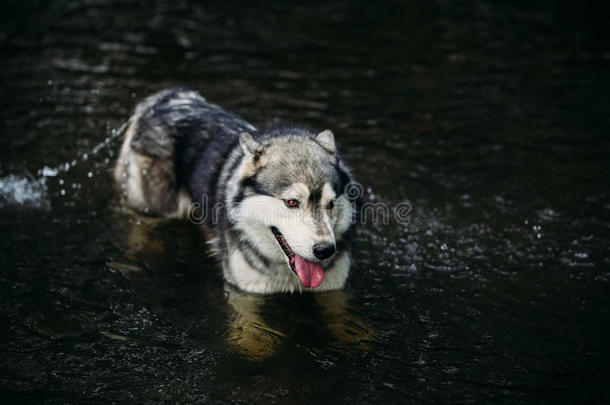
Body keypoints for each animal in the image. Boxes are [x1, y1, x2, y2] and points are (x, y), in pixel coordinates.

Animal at [114, 87, 356, 294]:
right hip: (153, 210)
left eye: (330, 204)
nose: (325, 250)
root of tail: (167, 97)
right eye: (292, 202)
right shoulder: (244, 294)